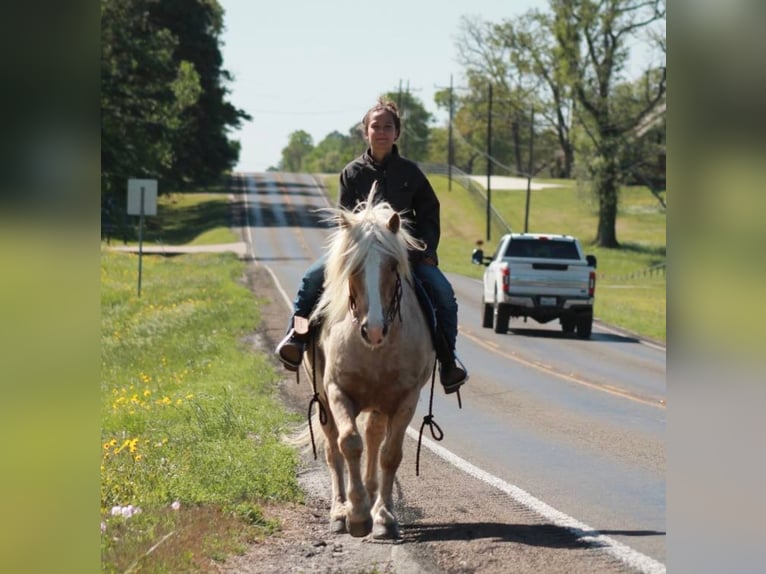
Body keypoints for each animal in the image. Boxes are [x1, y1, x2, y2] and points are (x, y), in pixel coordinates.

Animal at [306, 184, 438, 540]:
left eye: (392, 266)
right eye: (353, 268)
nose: (375, 329)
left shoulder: (406, 398)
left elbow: (390, 454)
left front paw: (383, 516)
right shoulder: (337, 391)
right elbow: (349, 444)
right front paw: (356, 515)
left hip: (379, 404)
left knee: (375, 437)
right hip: (323, 398)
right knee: (332, 448)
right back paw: (339, 511)